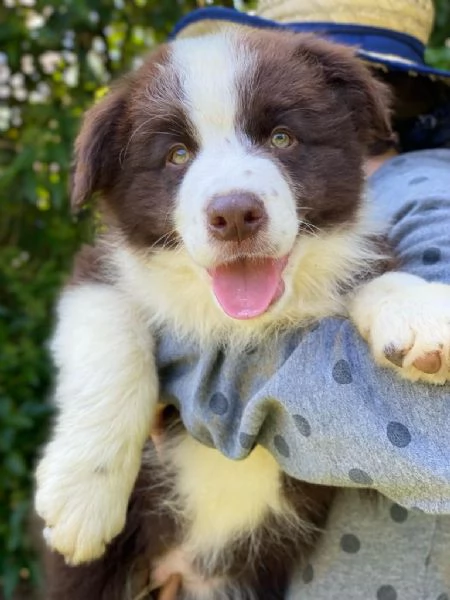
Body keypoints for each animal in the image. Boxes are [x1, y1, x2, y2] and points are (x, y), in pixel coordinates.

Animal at [36, 28, 450, 600]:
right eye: (177, 154)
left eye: (281, 139)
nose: (234, 215)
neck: (237, 322)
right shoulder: (100, 270)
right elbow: (114, 345)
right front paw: (82, 499)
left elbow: (375, 274)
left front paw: (422, 315)